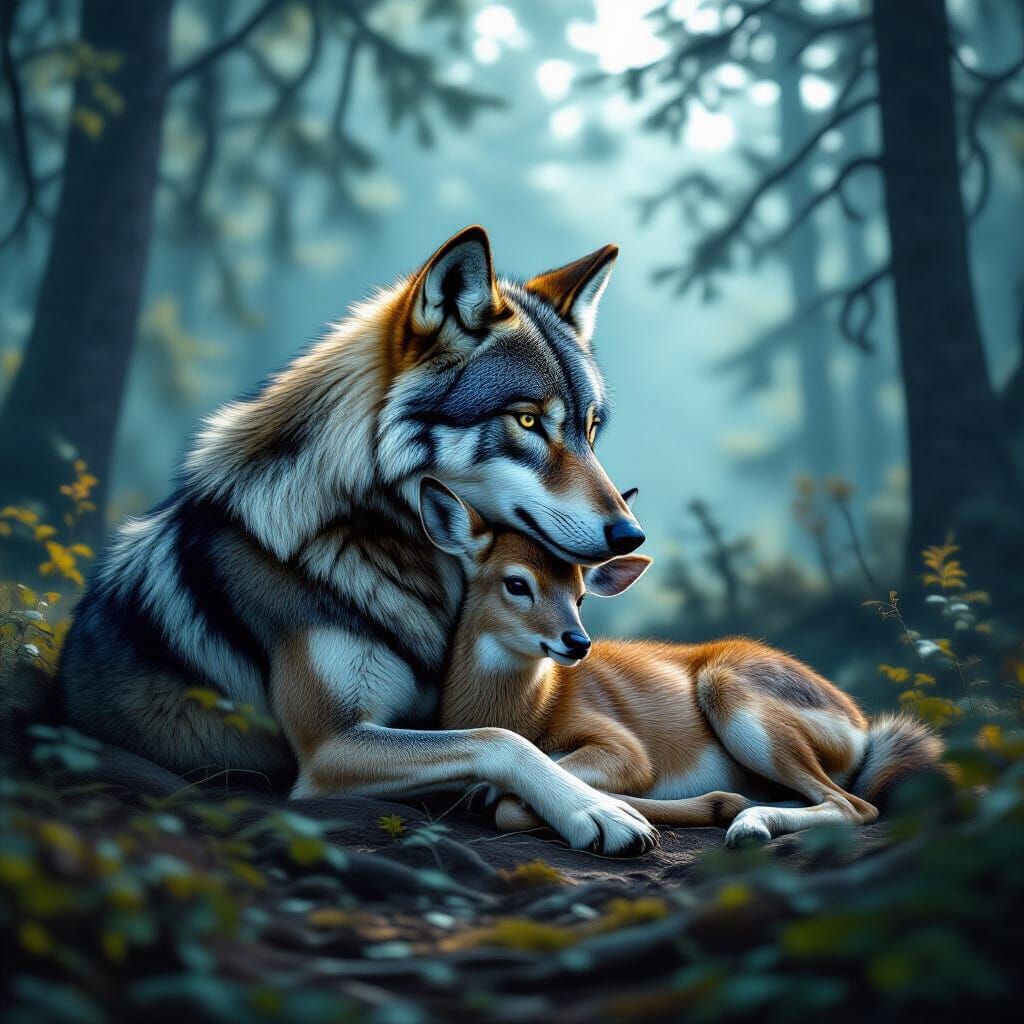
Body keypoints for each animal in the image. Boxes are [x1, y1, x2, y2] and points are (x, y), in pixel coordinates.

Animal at [59, 226, 658, 854]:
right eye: (527, 421)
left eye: (589, 429)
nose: (630, 533)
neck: (380, 546)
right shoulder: (332, 748)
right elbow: (497, 737)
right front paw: (595, 809)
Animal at [419, 478, 944, 846]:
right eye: (516, 582)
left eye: (580, 594)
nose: (577, 642)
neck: (530, 709)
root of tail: (861, 728)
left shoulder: (625, 747)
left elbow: (516, 797)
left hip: (737, 701)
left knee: (854, 806)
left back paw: (746, 822)